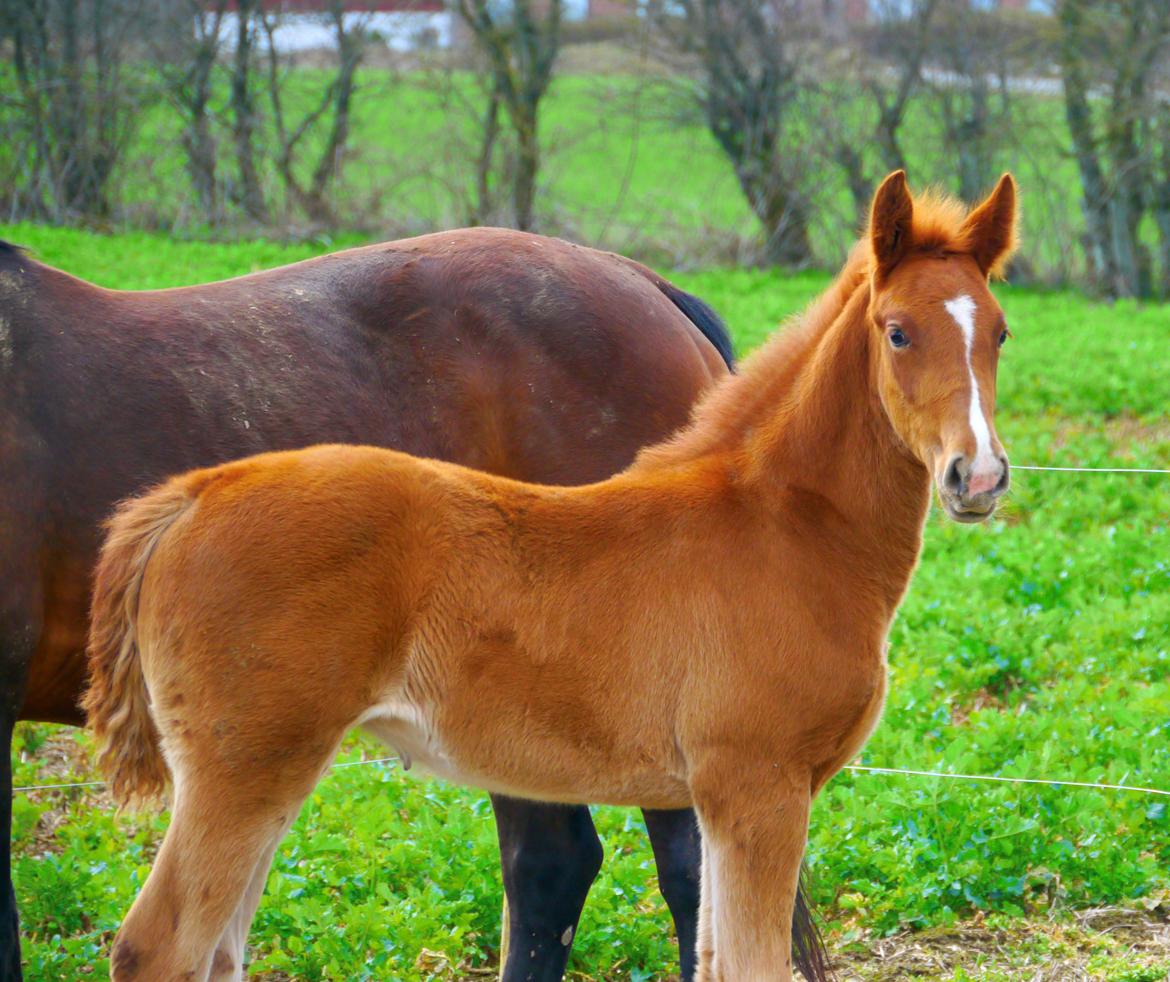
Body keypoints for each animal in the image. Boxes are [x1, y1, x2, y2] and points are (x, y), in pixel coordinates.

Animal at [84, 173, 1015, 978]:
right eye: (897, 330)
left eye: (1000, 332)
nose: (977, 476)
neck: (779, 526)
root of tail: (192, 497)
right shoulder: (758, 786)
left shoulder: (720, 798)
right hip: (241, 773)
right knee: (159, 947)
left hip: (266, 775)